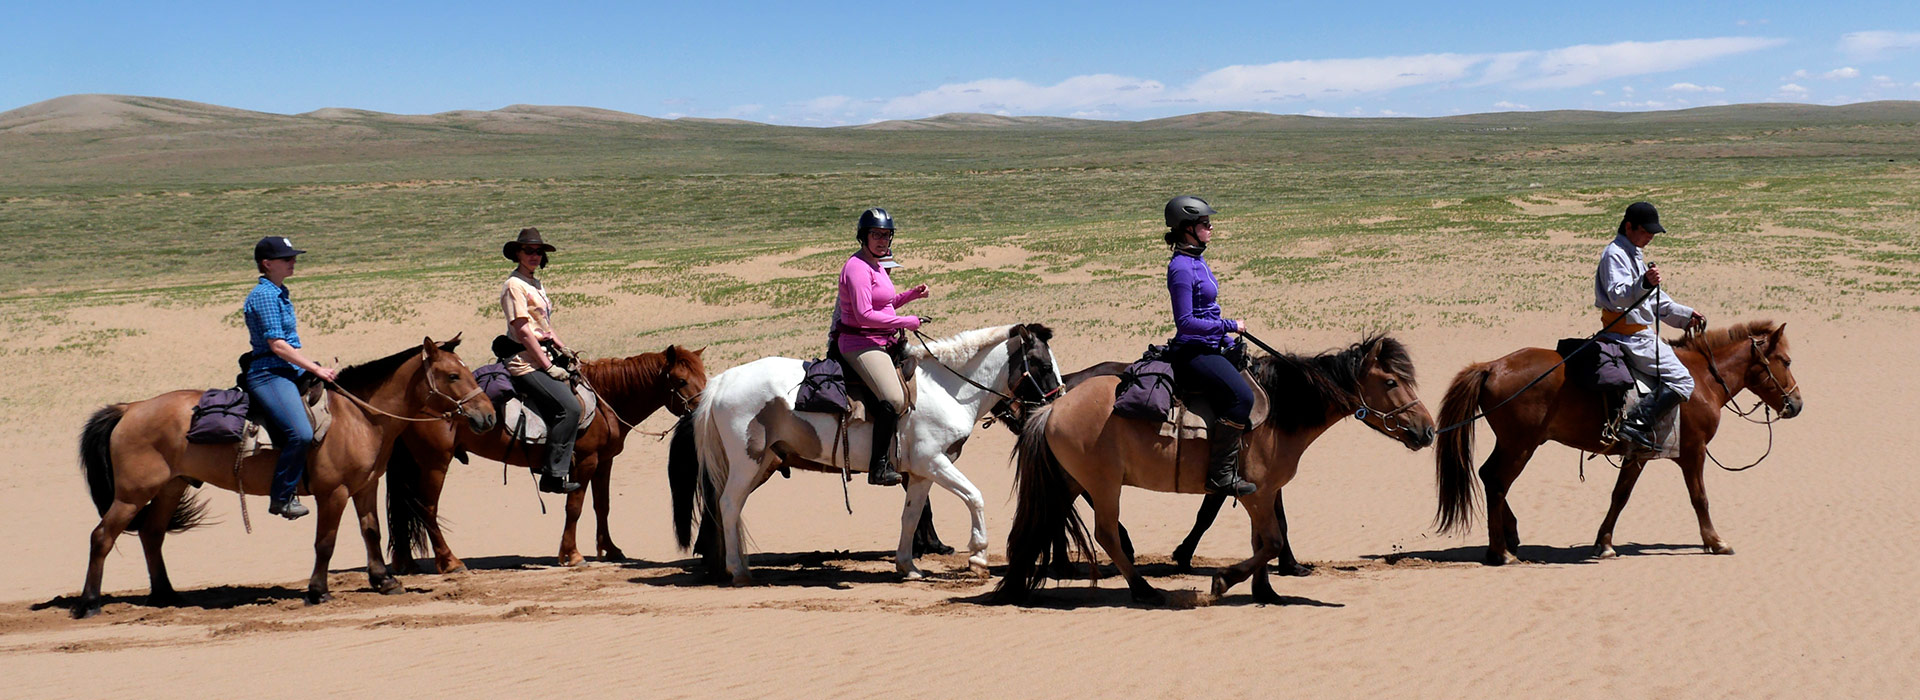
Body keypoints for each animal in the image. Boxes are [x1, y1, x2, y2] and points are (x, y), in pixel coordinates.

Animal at [72, 337, 495, 617]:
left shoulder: (365, 486)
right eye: (452, 375)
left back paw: (165, 595)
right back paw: (89, 603)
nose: (488, 416)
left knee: (151, 534)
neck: (358, 416)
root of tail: (130, 408)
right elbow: (325, 543)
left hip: (169, 488)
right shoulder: (333, 493)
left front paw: (385, 581)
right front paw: (317, 591)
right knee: (101, 537)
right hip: (132, 494)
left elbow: (371, 532)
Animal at [385, 345, 710, 571]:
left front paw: (610, 549)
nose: (701, 411)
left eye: (704, 376)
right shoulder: (586, 462)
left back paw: (405, 563)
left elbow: (602, 506)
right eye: (682, 381)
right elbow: (574, 508)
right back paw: (450, 562)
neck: (605, 400)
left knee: (404, 507)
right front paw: (572, 554)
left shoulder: (604, 462)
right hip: (435, 463)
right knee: (426, 508)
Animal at [672, 322, 1067, 583]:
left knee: (728, 507)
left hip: (762, 464)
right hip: (746, 463)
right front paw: (979, 557)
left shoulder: (921, 473)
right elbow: (975, 496)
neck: (946, 388)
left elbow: (911, 517)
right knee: (728, 505)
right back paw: (738, 570)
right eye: (1044, 366)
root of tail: (721, 382)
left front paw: (908, 566)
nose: (1057, 402)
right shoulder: (934, 462)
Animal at [998, 335, 1436, 602]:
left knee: (1037, 526)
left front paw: (1266, 592)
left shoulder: (1261, 494)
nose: (1427, 430)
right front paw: (1224, 579)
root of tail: (1054, 406)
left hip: (1068, 483)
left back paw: (1017, 585)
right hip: (1103, 486)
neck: (1279, 411)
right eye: (1392, 381)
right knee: (1106, 534)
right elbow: (1270, 540)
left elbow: (1262, 539)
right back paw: (1144, 590)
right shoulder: (1256, 492)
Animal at [1436, 318, 1804, 563]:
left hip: (1516, 445)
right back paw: (1500, 551)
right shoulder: (1693, 452)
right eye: (1785, 361)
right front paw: (1715, 541)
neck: (1701, 380)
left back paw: (1509, 536)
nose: (1797, 404)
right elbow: (1700, 498)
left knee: (1488, 476)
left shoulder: (1637, 453)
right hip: (1520, 446)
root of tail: (1492, 366)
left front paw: (1605, 542)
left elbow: (1620, 496)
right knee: (1497, 482)